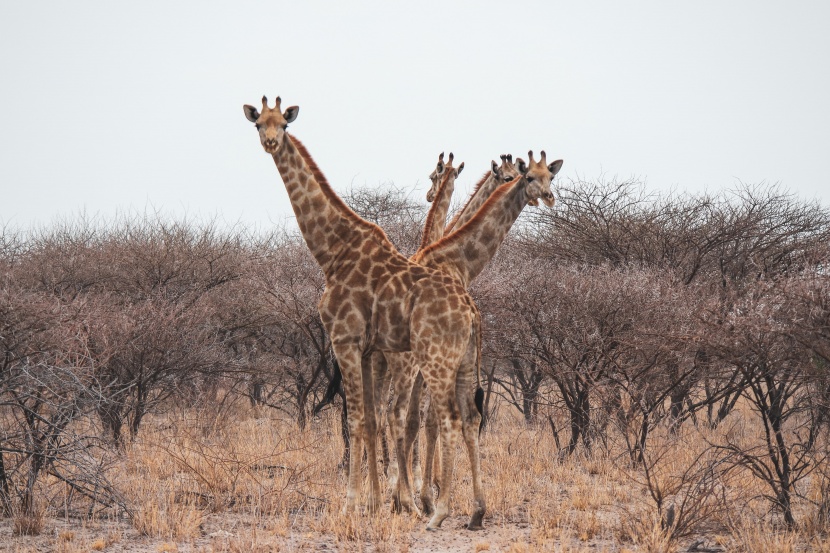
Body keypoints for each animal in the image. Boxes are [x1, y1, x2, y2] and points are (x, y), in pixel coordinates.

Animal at [244, 97, 484, 528]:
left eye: (283, 125)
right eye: (259, 124)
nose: (270, 142)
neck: (332, 252)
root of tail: (469, 309)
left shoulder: (346, 340)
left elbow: (356, 420)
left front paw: (352, 504)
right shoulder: (368, 349)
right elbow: (371, 420)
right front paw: (377, 503)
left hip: (433, 358)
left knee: (437, 418)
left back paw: (432, 507)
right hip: (450, 361)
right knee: (455, 417)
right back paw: (463, 508)